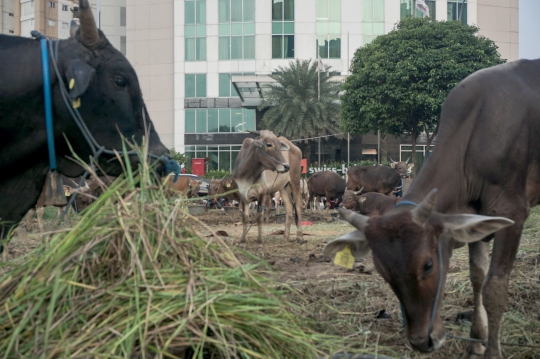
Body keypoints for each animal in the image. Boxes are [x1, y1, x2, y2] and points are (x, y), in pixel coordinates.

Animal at [320, 59, 540, 359]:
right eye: (383, 271)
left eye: (428, 264)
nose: (421, 341)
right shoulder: (476, 216)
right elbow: (477, 278)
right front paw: (476, 344)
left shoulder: (513, 213)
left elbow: (495, 287)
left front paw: (492, 351)